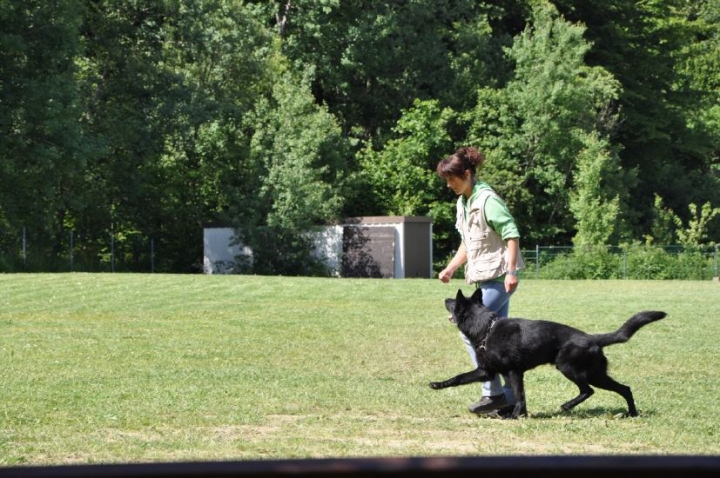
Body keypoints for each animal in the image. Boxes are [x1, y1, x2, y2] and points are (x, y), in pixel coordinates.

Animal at [428, 288, 668, 418]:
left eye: (453, 302)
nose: (444, 298)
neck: (487, 328)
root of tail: (592, 338)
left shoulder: (515, 373)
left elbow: (520, 396)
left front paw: (516, 416)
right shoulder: (486, 372)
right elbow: (458, 378)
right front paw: (438, 384)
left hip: (570, 368)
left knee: (589, 390)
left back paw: (568, 405)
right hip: (596, 374)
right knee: (624, 388)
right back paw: (632, 413)